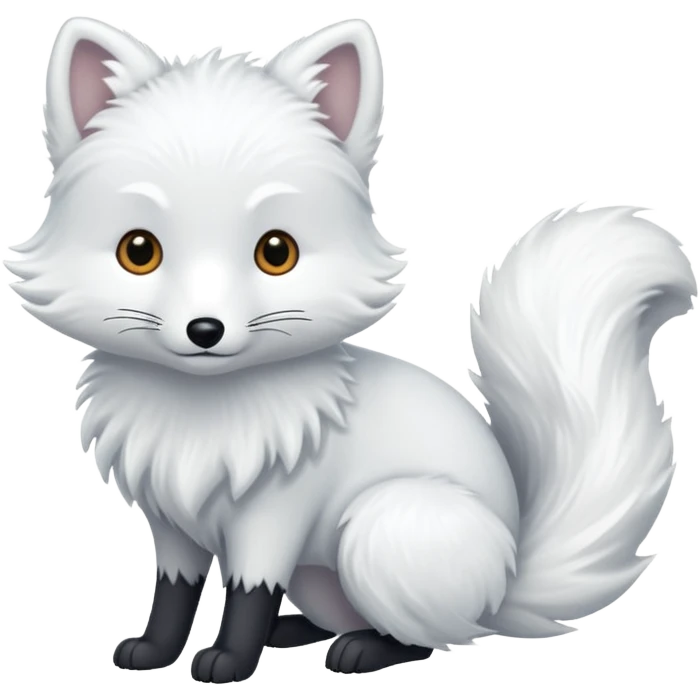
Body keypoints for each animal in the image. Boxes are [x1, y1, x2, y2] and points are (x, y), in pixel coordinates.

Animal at [6, 16, 697, 685]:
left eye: (276, 252)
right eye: (139, 251)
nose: (206, 330)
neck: (201, 419)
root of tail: (506, 580)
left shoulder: (274, 519)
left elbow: (249, 594)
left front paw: (228, 662)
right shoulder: (172, 523)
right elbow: (174, 594)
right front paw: (154, 651)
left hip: (379, 527)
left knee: (426, 637)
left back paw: (360, 651)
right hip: (322, 574)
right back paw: (297, 633)